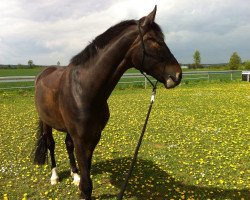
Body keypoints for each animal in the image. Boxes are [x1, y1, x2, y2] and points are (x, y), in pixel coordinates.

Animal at [33, 5, 182, 198]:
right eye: (153, 40)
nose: (177, 75)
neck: (84, 90)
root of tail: (42, 74)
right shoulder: (81, 139)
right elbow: (87, 184)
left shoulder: (93, 137)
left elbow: (86, 175)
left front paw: (79, 178)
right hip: (46, 122)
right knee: (50, 144)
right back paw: (55, 176)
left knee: (67, 144)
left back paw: (74, 175)